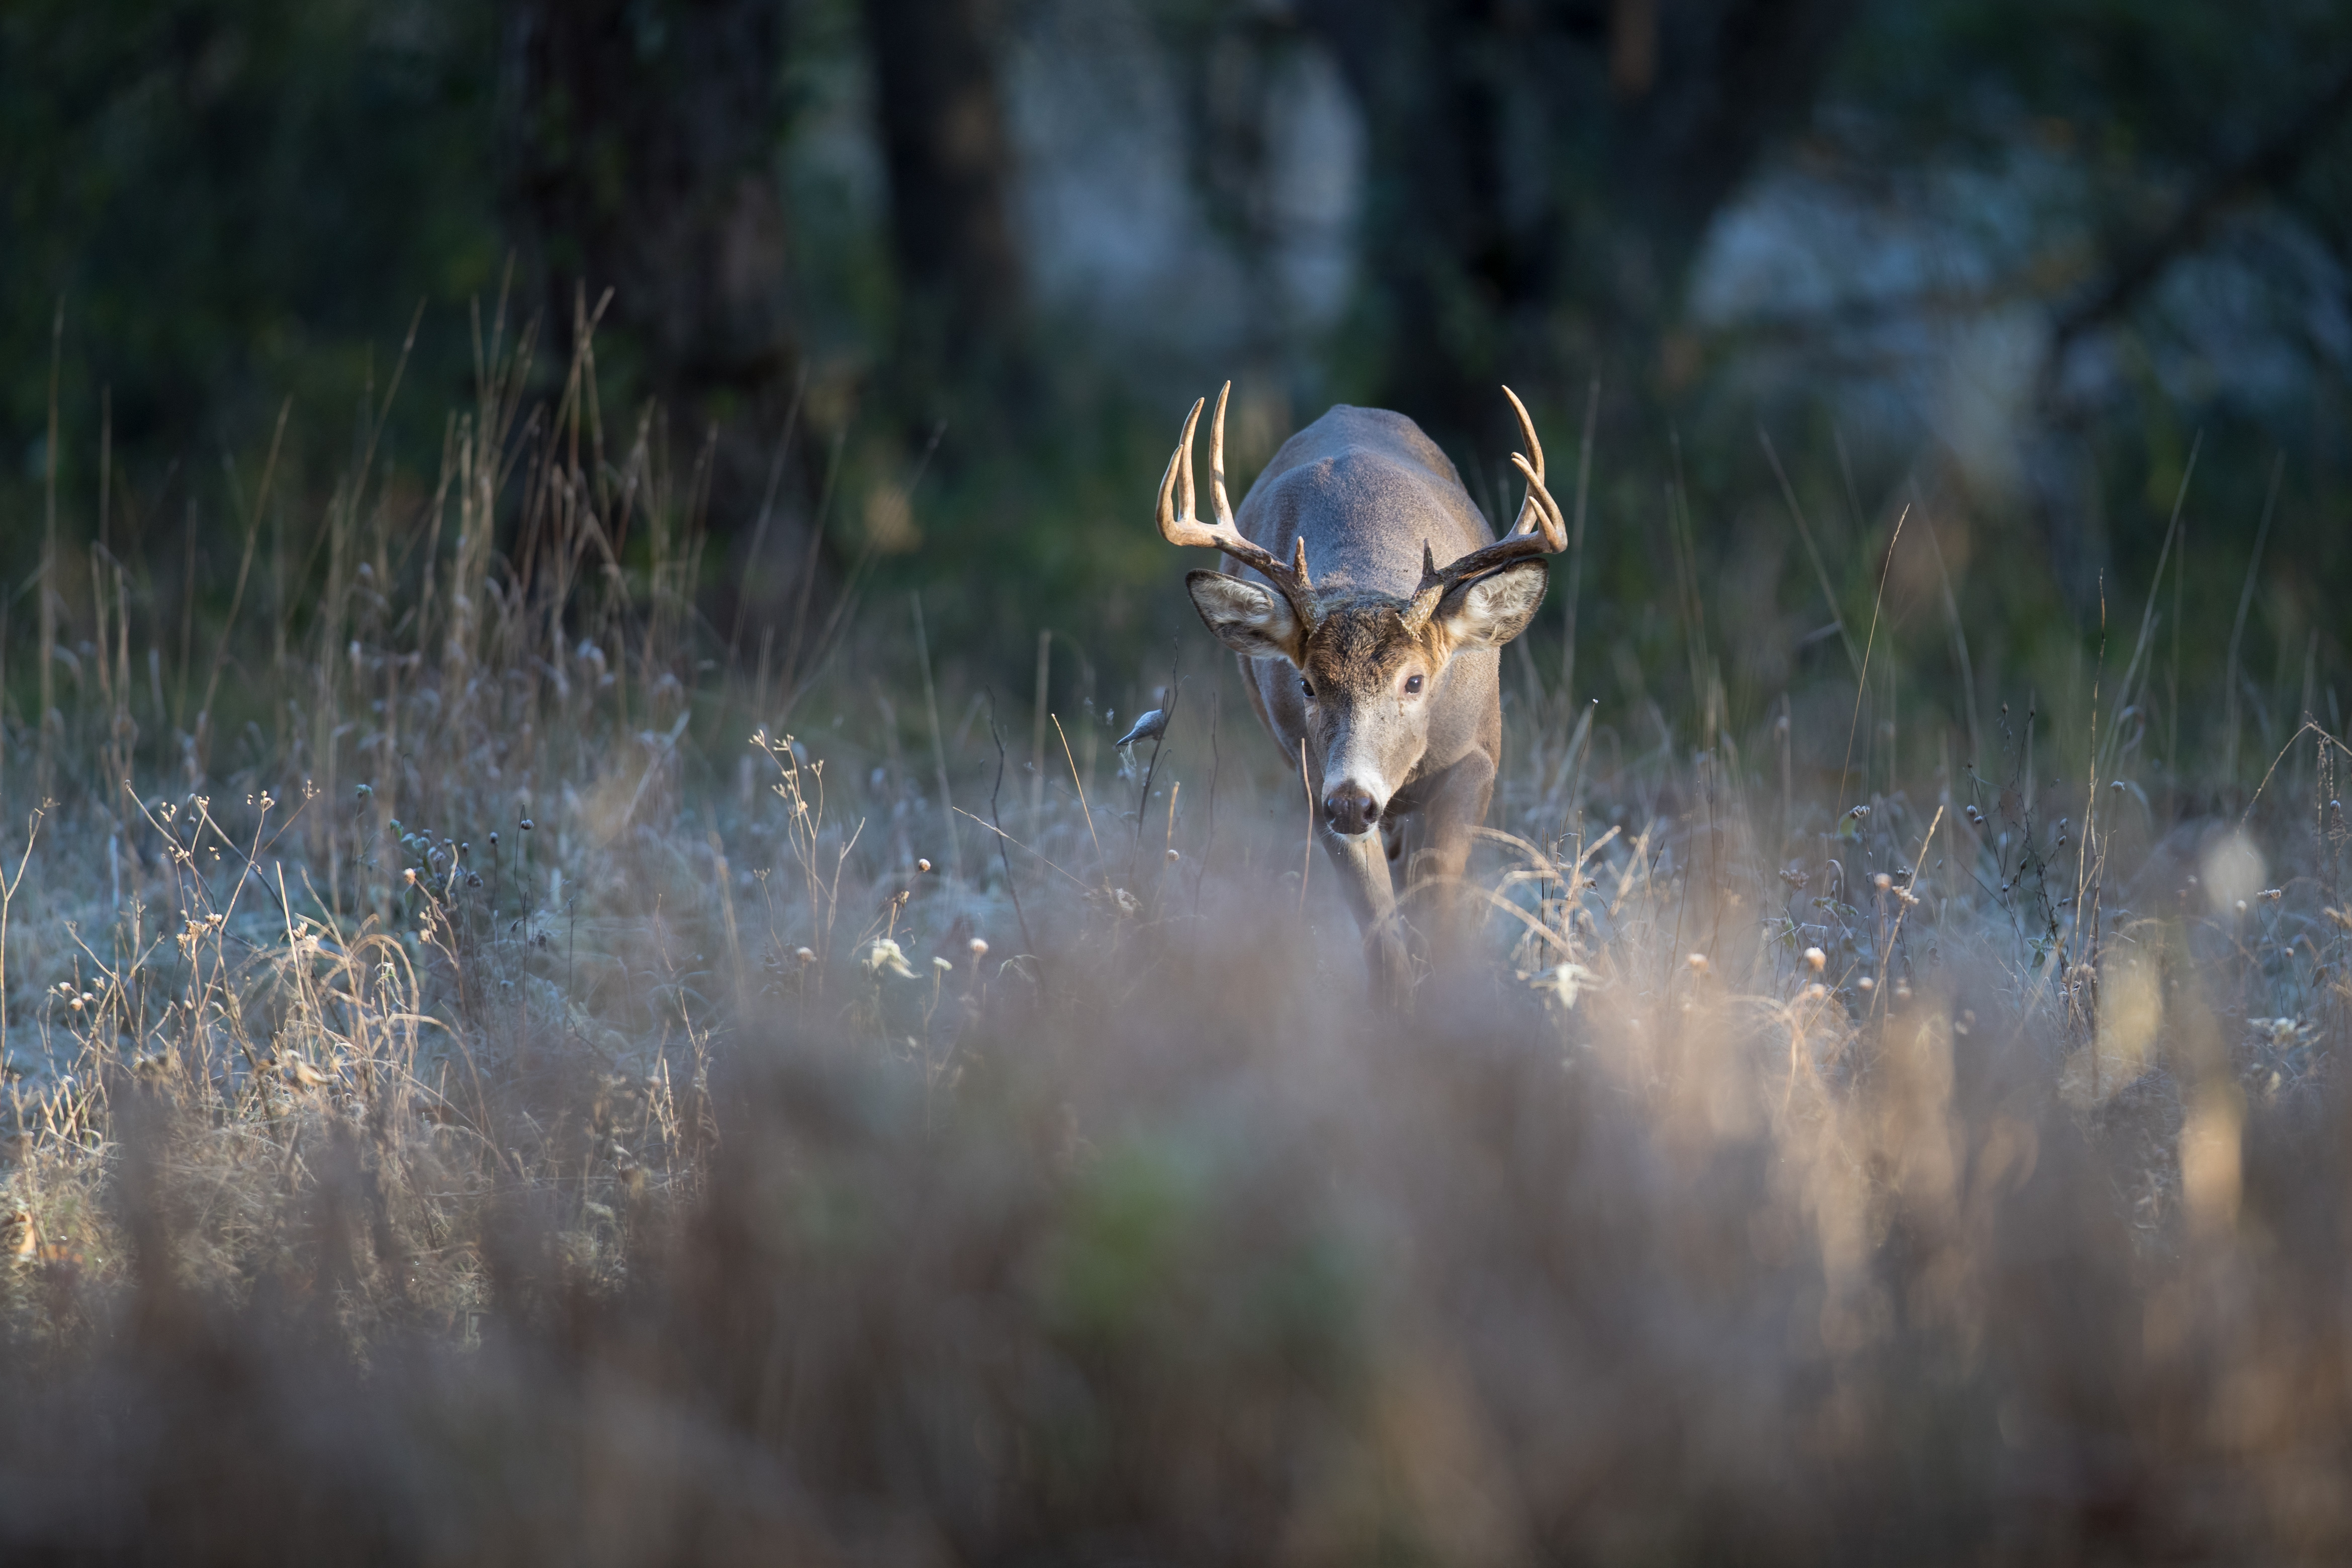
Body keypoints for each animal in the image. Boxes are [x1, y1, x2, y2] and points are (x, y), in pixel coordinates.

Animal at [1153, 383, 1566, 1001]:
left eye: (1415, 680)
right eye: (1306, 683)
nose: (1353, 799)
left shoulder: (1478, 756)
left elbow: (1437, 898)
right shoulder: (1314, 781)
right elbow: (1380, 930)